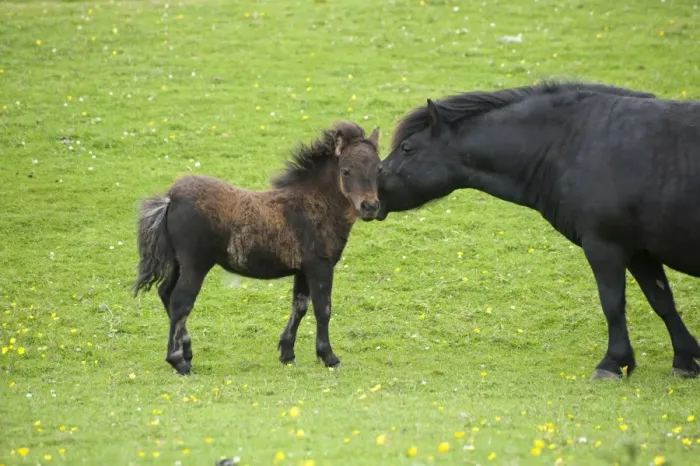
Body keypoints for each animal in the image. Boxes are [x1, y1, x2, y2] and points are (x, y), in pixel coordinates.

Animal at [133, 121, 382, 375]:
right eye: (346, 171)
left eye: (379, 169)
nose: (370, 207)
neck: (315, 203)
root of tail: (170, 198)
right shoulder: (320, 266)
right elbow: (323, 309)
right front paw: (329, 357)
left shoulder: (302, 270)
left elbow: (300, 307)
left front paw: (287, 354)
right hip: (195, 265)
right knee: (180, 302)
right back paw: (179, 361)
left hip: (177, 263)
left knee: (165, 292)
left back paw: (188, 352)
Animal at [376, 81, 700, 379]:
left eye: (407, 148)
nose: (371, 193)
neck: (571, 144)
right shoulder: (638, 251)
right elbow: (662, 301)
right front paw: (685, 360)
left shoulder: (604, 246)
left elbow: (612, 303)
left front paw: (613, 363)